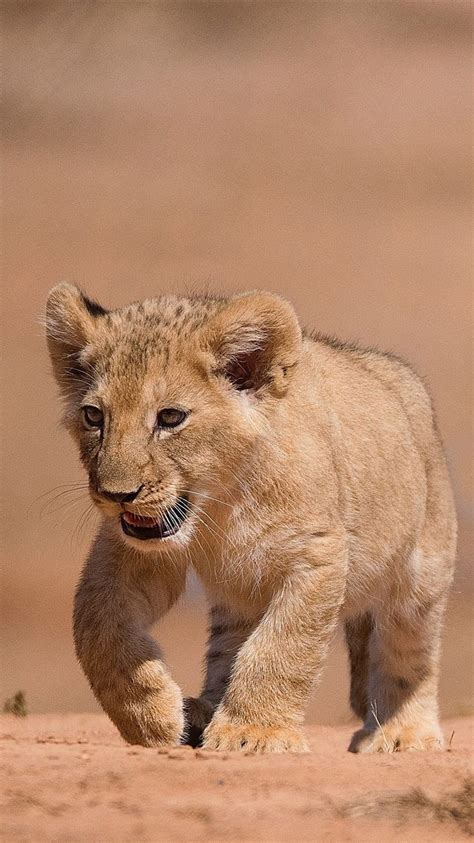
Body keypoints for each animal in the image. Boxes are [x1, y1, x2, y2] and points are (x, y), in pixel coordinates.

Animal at [45, 283, 456, 753]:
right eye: (94, 416)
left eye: (170, 417)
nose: (117, 495)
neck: (219, 505)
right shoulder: (133, 550)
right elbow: (97, 626)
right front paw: (151, 717)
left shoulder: (316, 554)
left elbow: (281, 648)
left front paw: (252, 733)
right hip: (239, 594)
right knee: (228, 646)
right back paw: (201, 712)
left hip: (421, 573)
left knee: (409, 649)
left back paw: (404, 732)